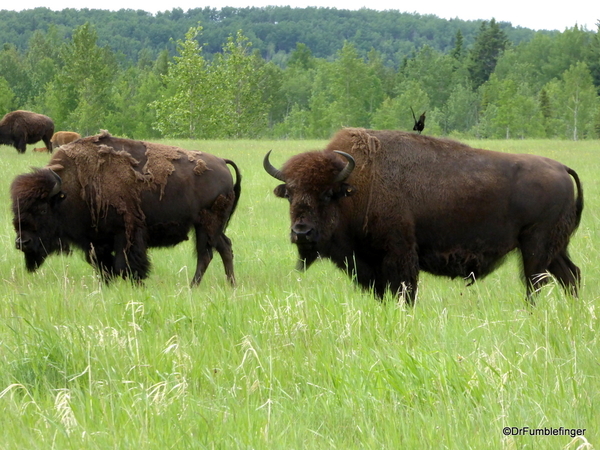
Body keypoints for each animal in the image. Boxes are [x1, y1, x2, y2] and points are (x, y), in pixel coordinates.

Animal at [11, 130, 241, 284]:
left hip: (206, 225)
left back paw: (193, 286)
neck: (72, 187)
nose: (22, 242)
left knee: (206, 254)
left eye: (42, 209)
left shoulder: (125, 233)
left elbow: (124, 264)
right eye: (16, 209)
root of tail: (222, 162)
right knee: (225, 247)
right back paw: (231, 284)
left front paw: (136, 282)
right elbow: (103, 265)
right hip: (212, 227)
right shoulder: (97, 241)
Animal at [264, 126, 584, 304]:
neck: (358, 186)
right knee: (571, 275)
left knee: (536, 282)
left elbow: (406, 291)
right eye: (290, 193)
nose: (302, 232)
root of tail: (562, 168)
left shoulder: (399, 254)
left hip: (536, 246)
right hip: (555, 248)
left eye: (328, 194)